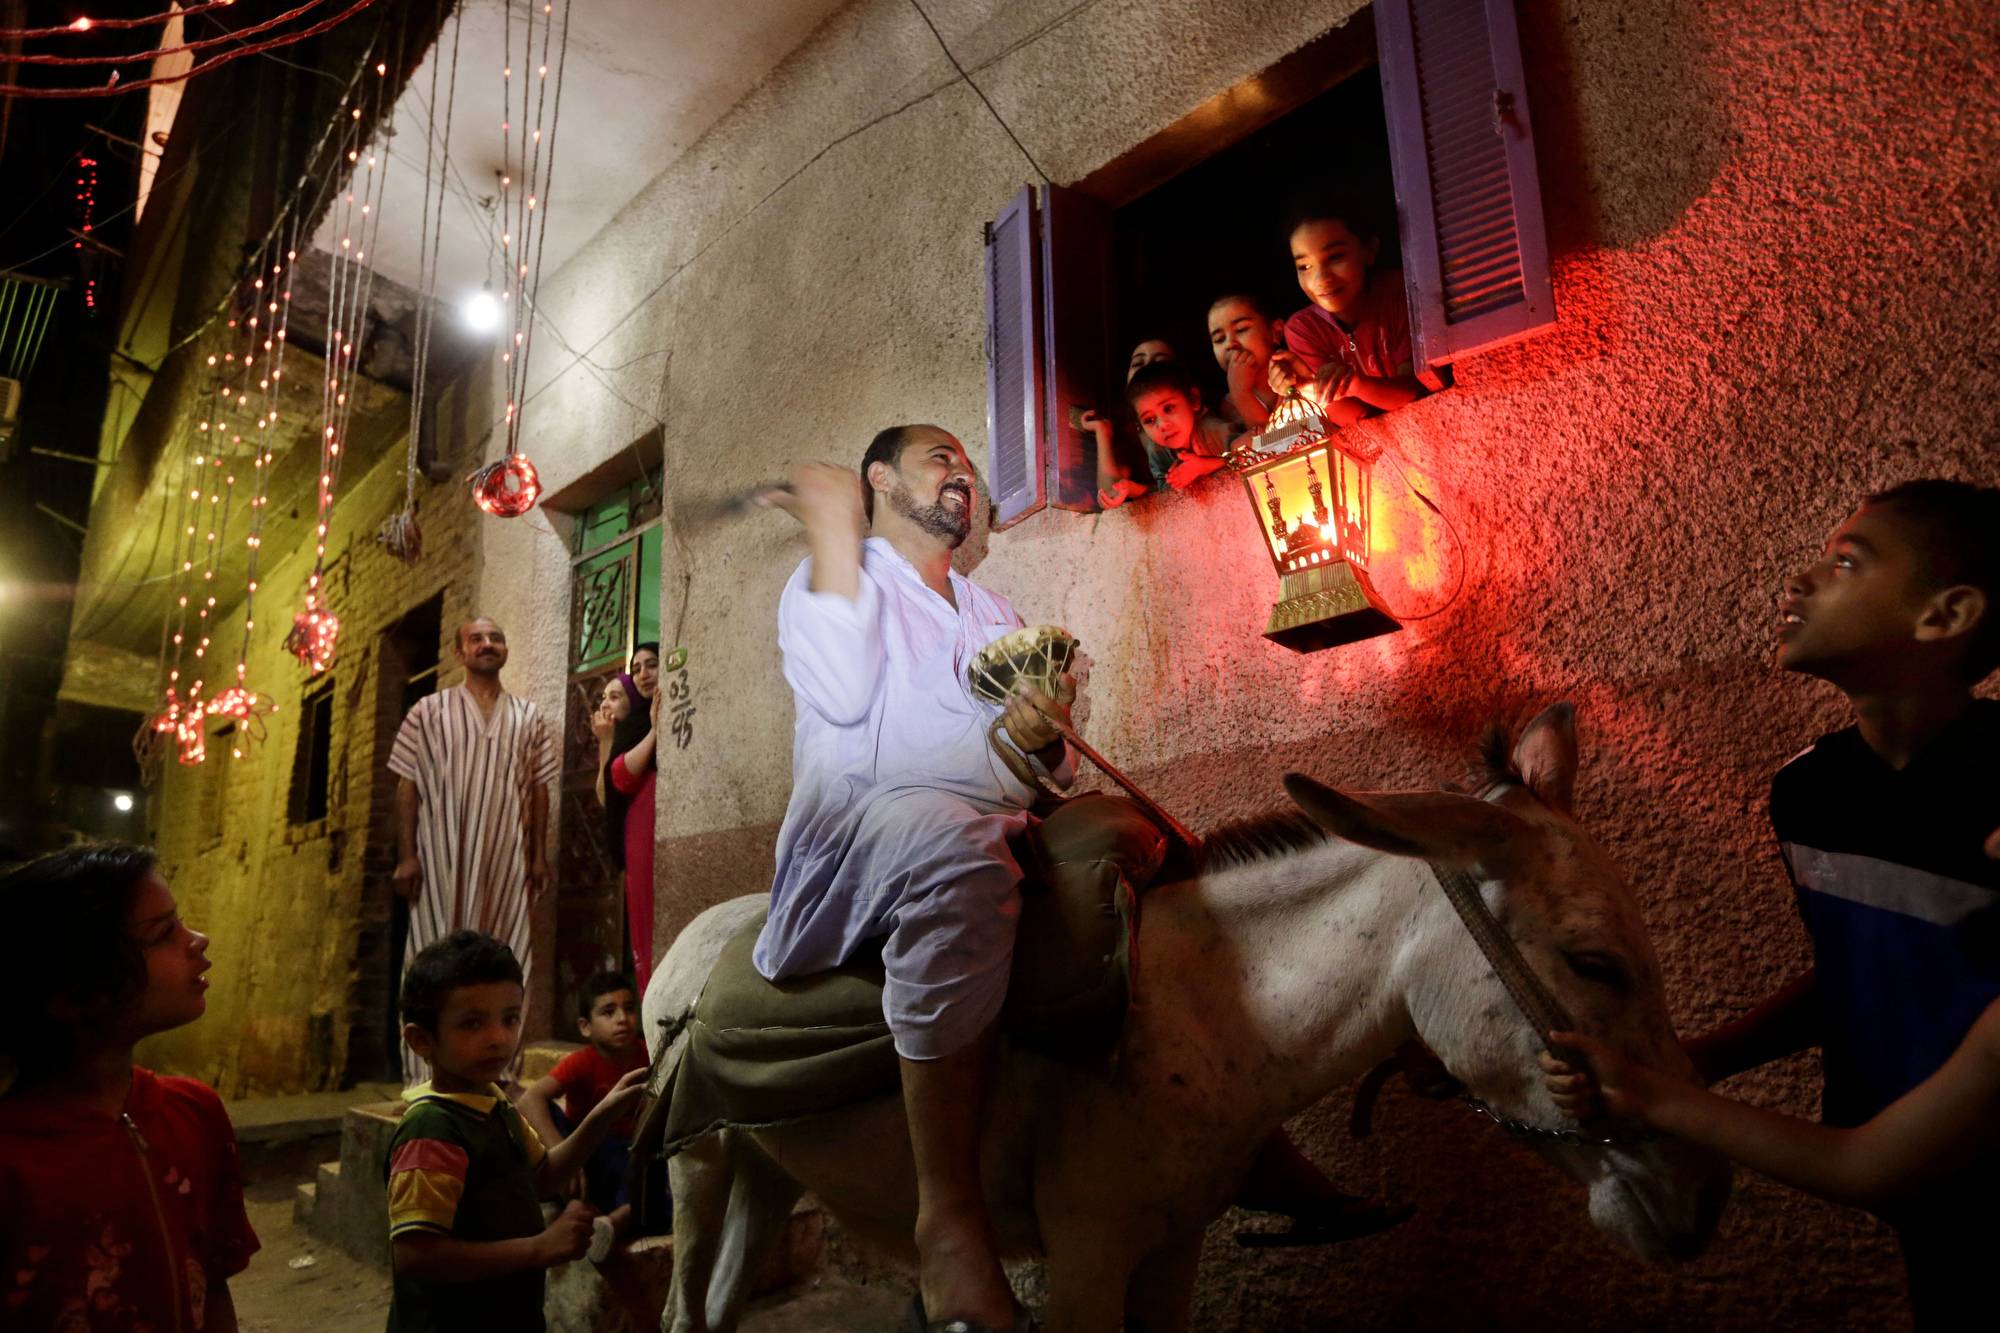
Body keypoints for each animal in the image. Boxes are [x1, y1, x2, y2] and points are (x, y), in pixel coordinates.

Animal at [643, 704, 1731, 1332]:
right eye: (1594, 962)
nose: (1702, 1201)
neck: (1212, 1009)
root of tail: (695, 936)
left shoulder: (1170, 1246)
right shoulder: (1087, 1252)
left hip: (765, 1165)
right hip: (695, 1167)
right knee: (683, 1306)